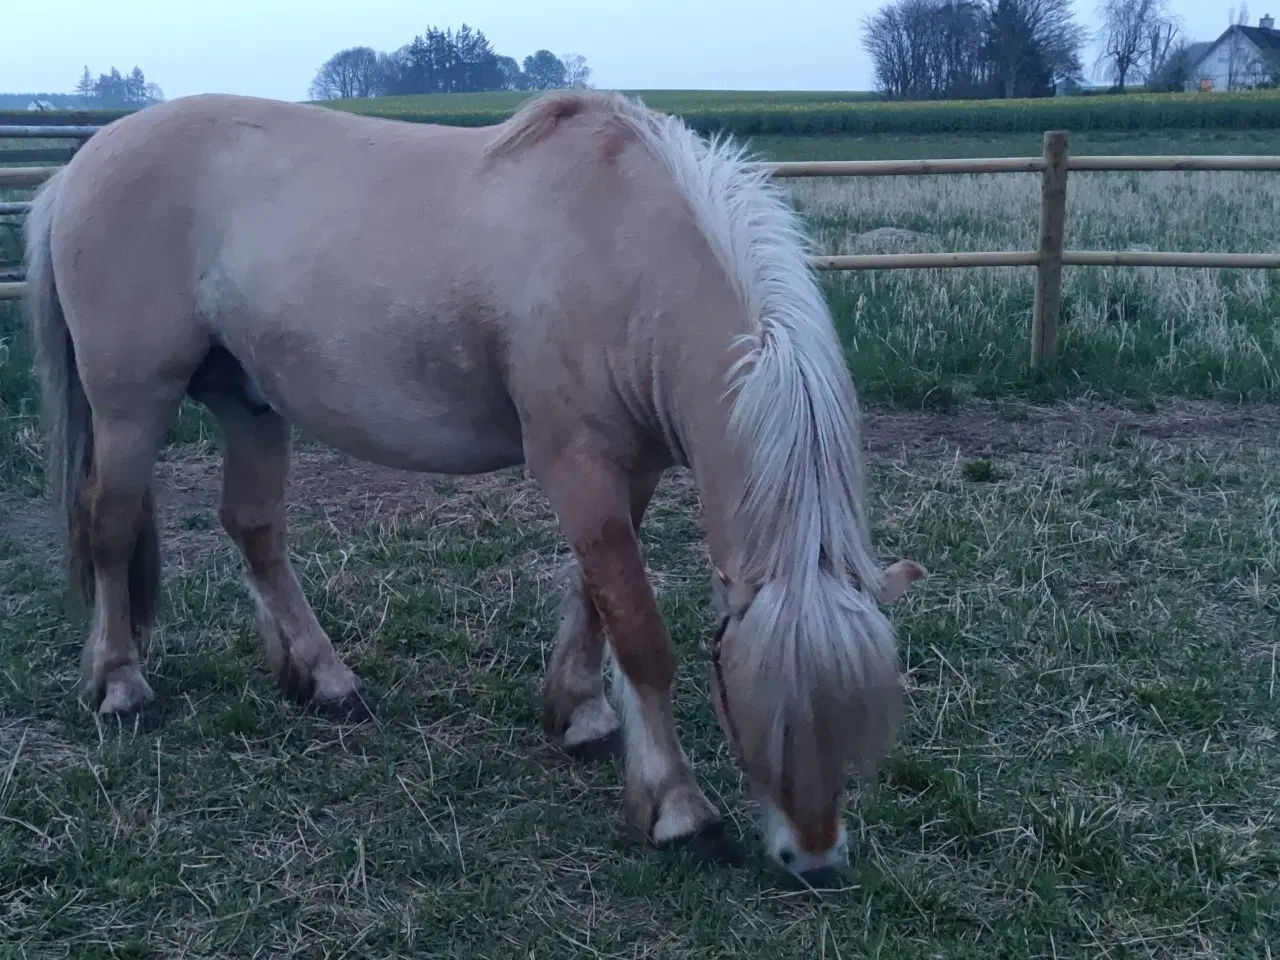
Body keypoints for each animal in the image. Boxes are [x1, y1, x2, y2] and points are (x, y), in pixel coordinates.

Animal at [23, 89, 926, 883]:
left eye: (863, 718)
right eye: (742, 699)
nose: (814, 861)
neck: (621, 247)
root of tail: (78, 168)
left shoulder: (625, 471)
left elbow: (595, 598)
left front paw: (580, 713)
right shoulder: (577, 468)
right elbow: (638, 630)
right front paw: (677, 809)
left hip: (248, 403)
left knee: (254, 529)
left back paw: (326, 679)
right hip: (131, 404)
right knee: (110, 526)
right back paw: (122, 686)